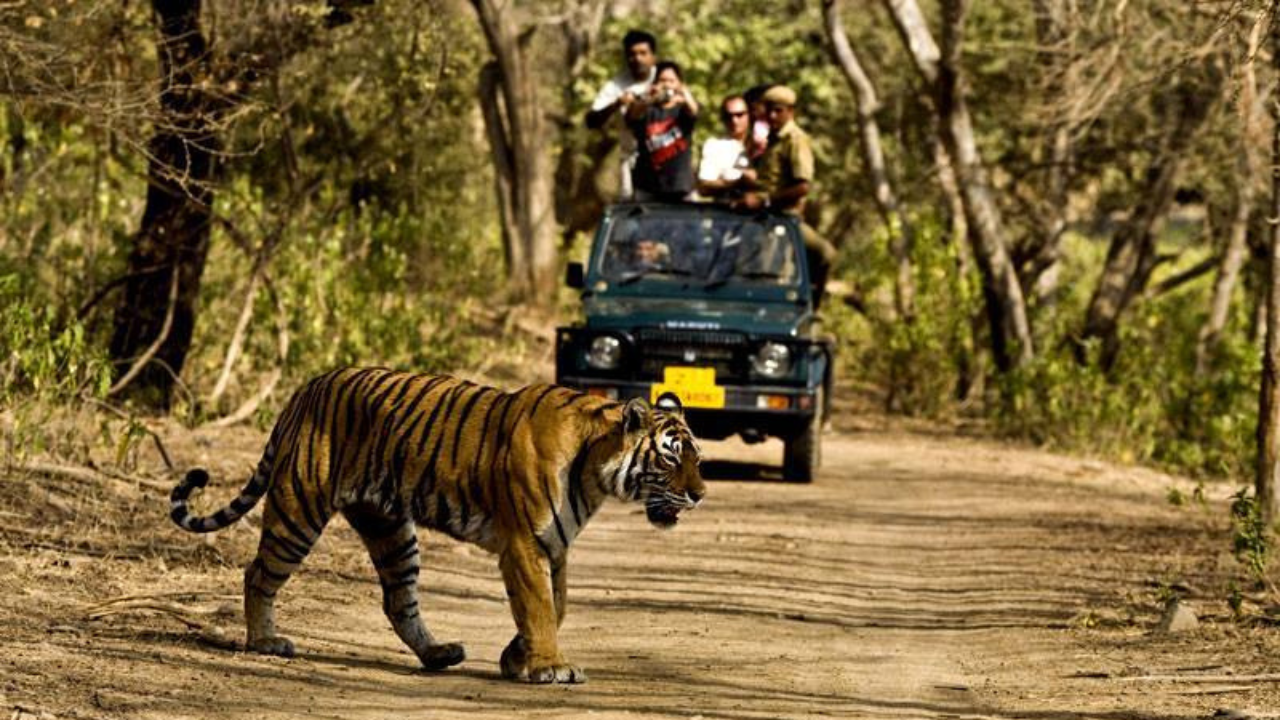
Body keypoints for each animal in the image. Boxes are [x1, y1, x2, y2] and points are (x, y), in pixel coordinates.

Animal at [166, 366, 706, 681]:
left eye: (697, 457)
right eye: (671, 457)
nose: (700, 495)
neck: (595, 470)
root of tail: (306, 387)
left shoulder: (556, 546)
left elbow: (557, 606)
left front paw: (517, 658)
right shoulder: (526, 543)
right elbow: (539, 607)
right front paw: (549, 667)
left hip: (390, 529)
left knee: (397, 601)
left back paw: (438, 654)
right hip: (300, 508)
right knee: (258, 573)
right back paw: (265, 642)